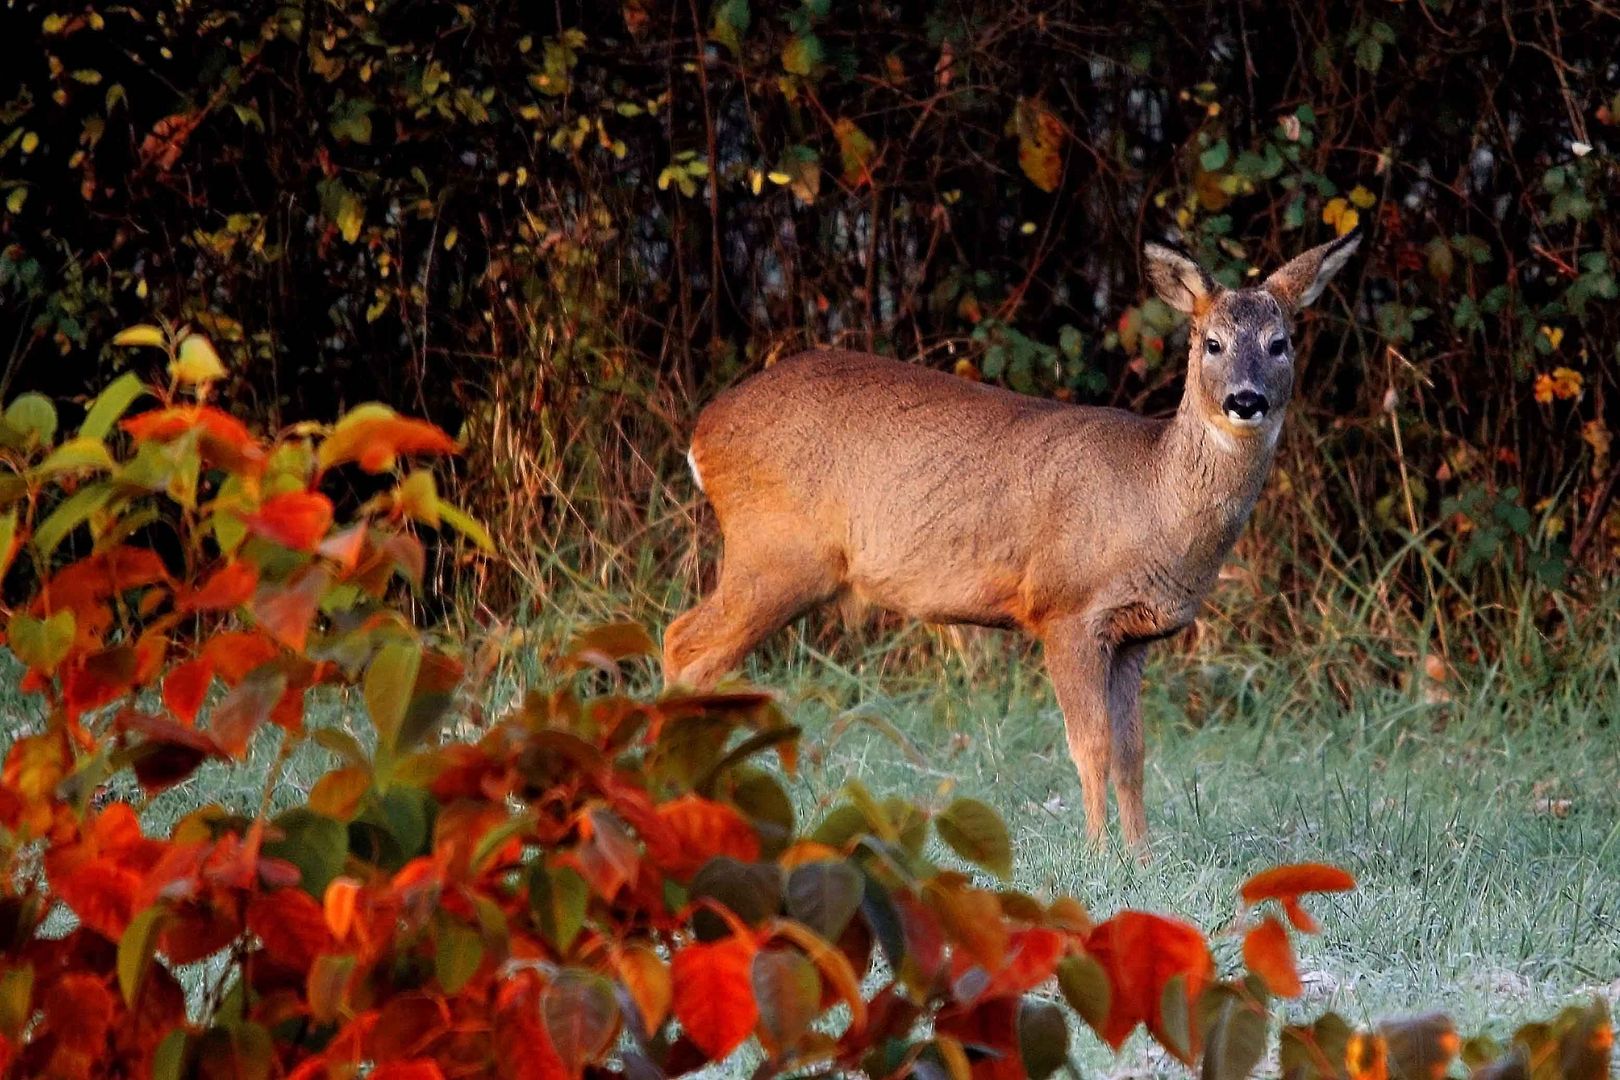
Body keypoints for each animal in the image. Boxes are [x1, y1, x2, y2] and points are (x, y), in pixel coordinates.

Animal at [664, 233, 1360, 848]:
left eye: (1280, 342)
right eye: (1212, 342)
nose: (1246, 400)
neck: (1153, 500)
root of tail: (703, 433)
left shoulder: (1135, 635)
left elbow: (1133, 751)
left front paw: (1142, 856)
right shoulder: (1066, 609)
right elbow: (1091, 746)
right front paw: (1099, 854)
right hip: (776, 555)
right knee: (684, 644)